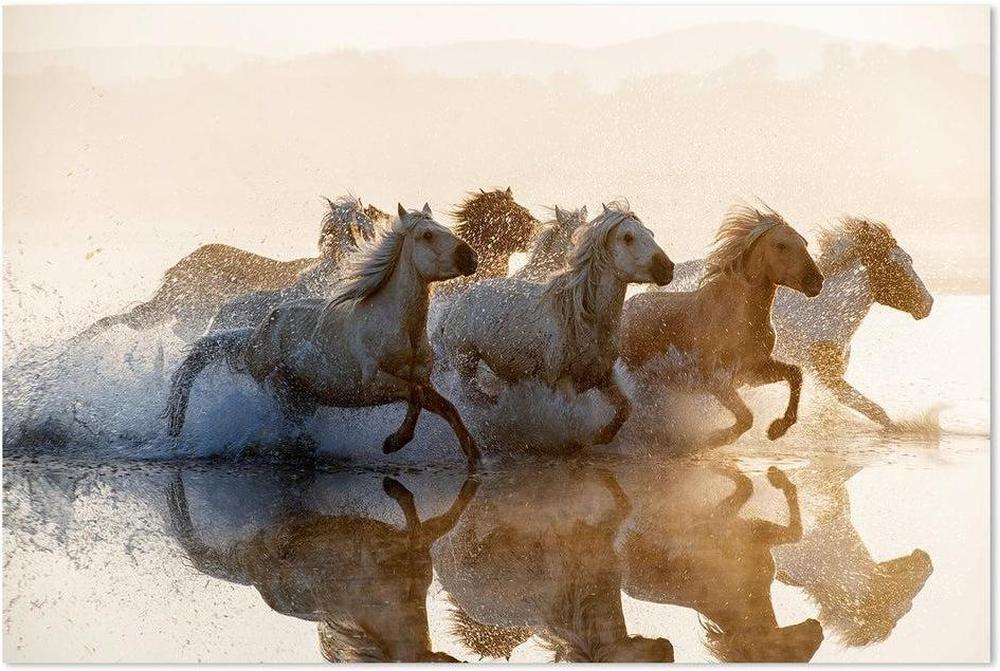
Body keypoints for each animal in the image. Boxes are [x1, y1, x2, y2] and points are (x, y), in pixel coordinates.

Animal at [440, 202, 673, 446]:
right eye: (628, 237)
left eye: (651, 234)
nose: (667, 268)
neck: (581, 319)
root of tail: (462, 297)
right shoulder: (564, 382)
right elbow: (573, 420)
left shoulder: (603, 375)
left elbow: (625, 408)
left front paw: (601, 435)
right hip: (465, 361)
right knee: (472, 395)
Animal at [620, 204, 824, 447]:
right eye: (781, 245)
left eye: (805, 243)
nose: (816, 281)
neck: (741, 319)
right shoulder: (717, 381)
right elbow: (746, 417)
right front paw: (714, 437)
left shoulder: (752, 372)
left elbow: (795, 373)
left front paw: (777, 429)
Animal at [658, 216, 933, 429]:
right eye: (895, 267)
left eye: (909, 260)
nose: (928, 304)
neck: (826, 313)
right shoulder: (829, 377)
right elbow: (875, 411)